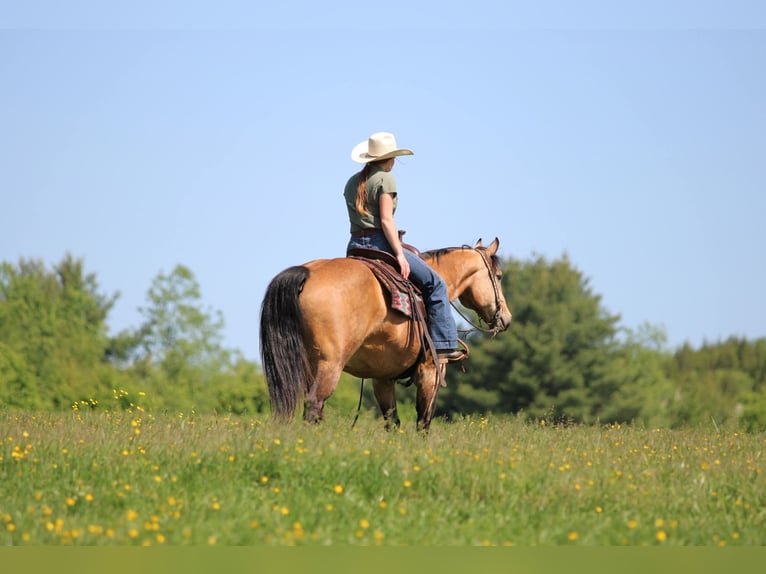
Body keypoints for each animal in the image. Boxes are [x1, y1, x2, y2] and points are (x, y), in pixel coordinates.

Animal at [259, 237, 512, 431]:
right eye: (499, 276)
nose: (507, 319)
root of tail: (307, 273)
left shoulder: (382, 377)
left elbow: (392, 421)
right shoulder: (431, 370)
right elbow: (423, 420)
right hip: (329, 365)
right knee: (314, 404)